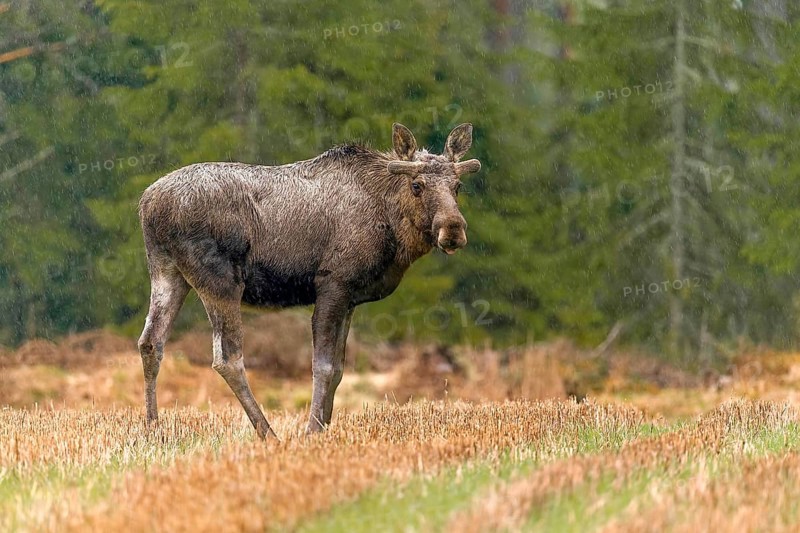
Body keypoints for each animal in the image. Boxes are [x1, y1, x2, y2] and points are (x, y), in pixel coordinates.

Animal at [137, 122, 481, 438]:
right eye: (417, 185)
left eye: (458, 185)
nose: (453, 229)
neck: (392, 228)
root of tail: (147, 204)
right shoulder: (333, 284)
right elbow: (323, 366)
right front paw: (312, 430)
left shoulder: (350, 299)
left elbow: (340, 368)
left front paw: (325, 427)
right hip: (220, 279)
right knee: (227, 358)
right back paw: (268, 433)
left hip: (168, 272)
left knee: (151, 342)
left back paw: (154, 428)